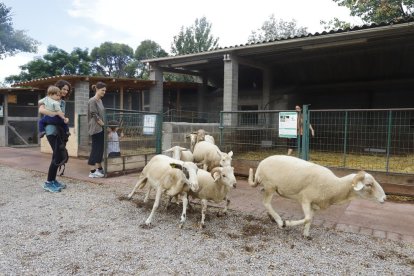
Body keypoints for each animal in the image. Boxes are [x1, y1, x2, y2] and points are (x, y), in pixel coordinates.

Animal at [247, 155, 386, 239]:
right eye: (368, 184)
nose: (385, 198)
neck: (334, 186)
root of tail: (261, 164)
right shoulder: (305, 199)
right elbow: (307, 218)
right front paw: (288, 223)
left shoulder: (314, 204)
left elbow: (310, 219)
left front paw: (306, 234)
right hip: (270, 186)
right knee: (266, 203)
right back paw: (280, 221)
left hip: (268, 187)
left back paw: (272, 217)